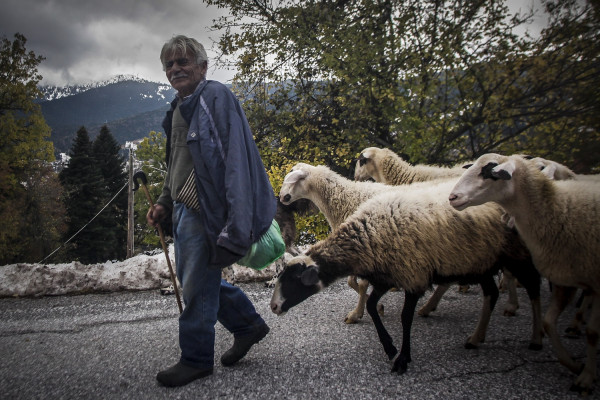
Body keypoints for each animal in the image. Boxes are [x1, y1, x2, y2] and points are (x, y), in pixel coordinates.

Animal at [272, 175, 544, 376]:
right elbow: (370, 303)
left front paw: (402, 358)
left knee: (533, 287)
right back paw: (475, 336)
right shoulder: (386, 275)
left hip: (515, 254)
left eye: (293, 279)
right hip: (479, 260)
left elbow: (404, 317)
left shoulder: (412, 274)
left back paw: (536, 335)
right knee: (491, 292)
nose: (273, 306)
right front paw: (388, 345)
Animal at [450, 152, 600, 394]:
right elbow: (549, 321)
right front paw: (574, 365)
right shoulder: (563, 275)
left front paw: (585, 377)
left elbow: (593, 332)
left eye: (491, 172)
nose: (453, 197)